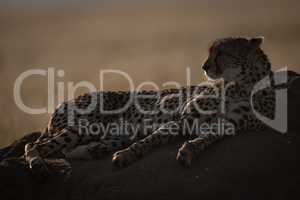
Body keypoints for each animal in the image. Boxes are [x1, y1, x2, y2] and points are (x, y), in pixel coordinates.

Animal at [22, 36, 288, 176]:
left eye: (221, 52)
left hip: (111, 133)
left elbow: (204, 140)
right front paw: (128, 155)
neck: (244, 85)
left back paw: (92, 151)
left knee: (67, 150)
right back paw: (38, 164)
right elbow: (152, 139)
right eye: (212, 51)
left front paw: (188, 151)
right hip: (85, 126)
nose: (204, 66)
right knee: (33, 145)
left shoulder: (228, 125)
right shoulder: (184, 118)